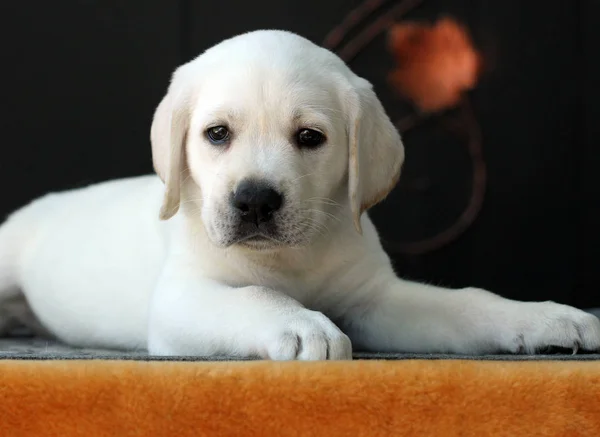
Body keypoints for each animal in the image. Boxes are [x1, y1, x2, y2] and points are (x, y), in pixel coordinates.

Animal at [1, 29, 600, 358]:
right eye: (216, 134)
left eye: (310, 137)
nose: (254, 201)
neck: (291, 260)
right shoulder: (180, 299)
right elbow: (254, 295)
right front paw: (300, 322)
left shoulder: (375, 300)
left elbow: (471, 303)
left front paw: (546, 319)